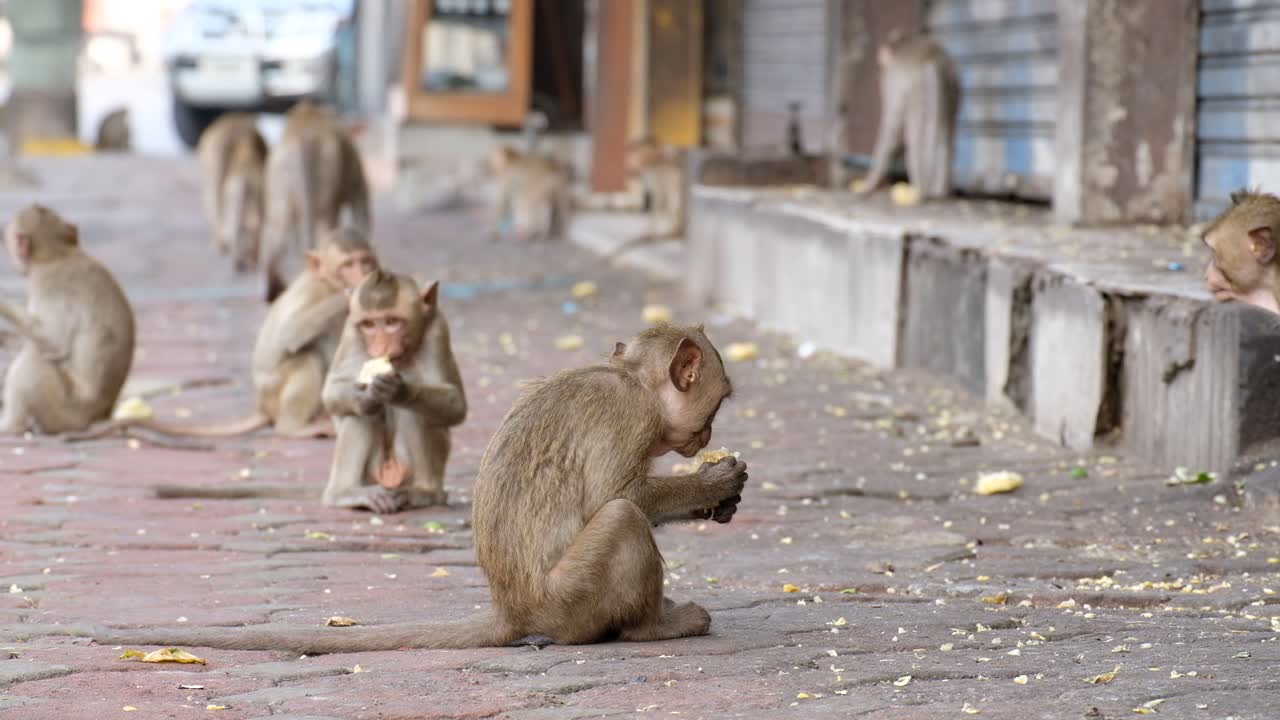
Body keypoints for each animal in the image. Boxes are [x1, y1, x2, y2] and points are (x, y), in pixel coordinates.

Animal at [0, 204, 134, 434]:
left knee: (37, 356)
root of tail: (97, 417)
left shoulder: (45, 283)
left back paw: (11, 425)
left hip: (64, 408)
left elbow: (55, 342)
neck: (58, 255)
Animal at [50, 324, 746, 653]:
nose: (710, 432)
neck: (629, 381)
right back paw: (652, 627)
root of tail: (514, 612)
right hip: (566, 600)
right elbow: (619, 492)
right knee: (623, 518)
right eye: (717, 401)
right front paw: (711, 483)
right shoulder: (626, 418)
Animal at [260, 101, 371, 302]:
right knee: (325, 221)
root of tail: (303, 138)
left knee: (277, 228)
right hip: (327, 166)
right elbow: (360, 201)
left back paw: (273, 288)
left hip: (280, 171)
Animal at [856, 31, 960, 200]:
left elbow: (890, 129)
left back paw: (920, 190)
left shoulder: (892, 82)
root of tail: (931, 59)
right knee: (946, 135)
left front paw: (867, 185)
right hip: (953, 87)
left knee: (915, 136)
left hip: (916, 91)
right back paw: (939, 192)